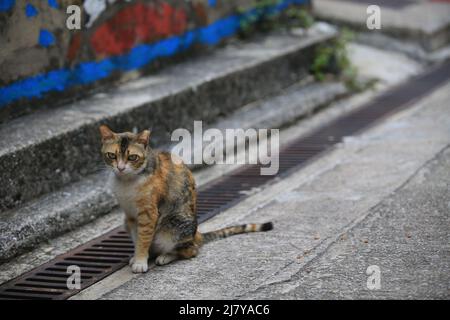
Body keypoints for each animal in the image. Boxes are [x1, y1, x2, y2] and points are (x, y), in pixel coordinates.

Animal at [100, 125, 272, 272]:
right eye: (112, 155)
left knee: (191, 250)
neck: (126, 182)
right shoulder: (131, 216)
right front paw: (137, 257)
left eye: (132, 157)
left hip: (174, 224)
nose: (120, 168)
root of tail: (196, 234)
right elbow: (138, 239)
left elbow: (143, 238)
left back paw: (166, 256)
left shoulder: (148, 214)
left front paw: (140, 261)